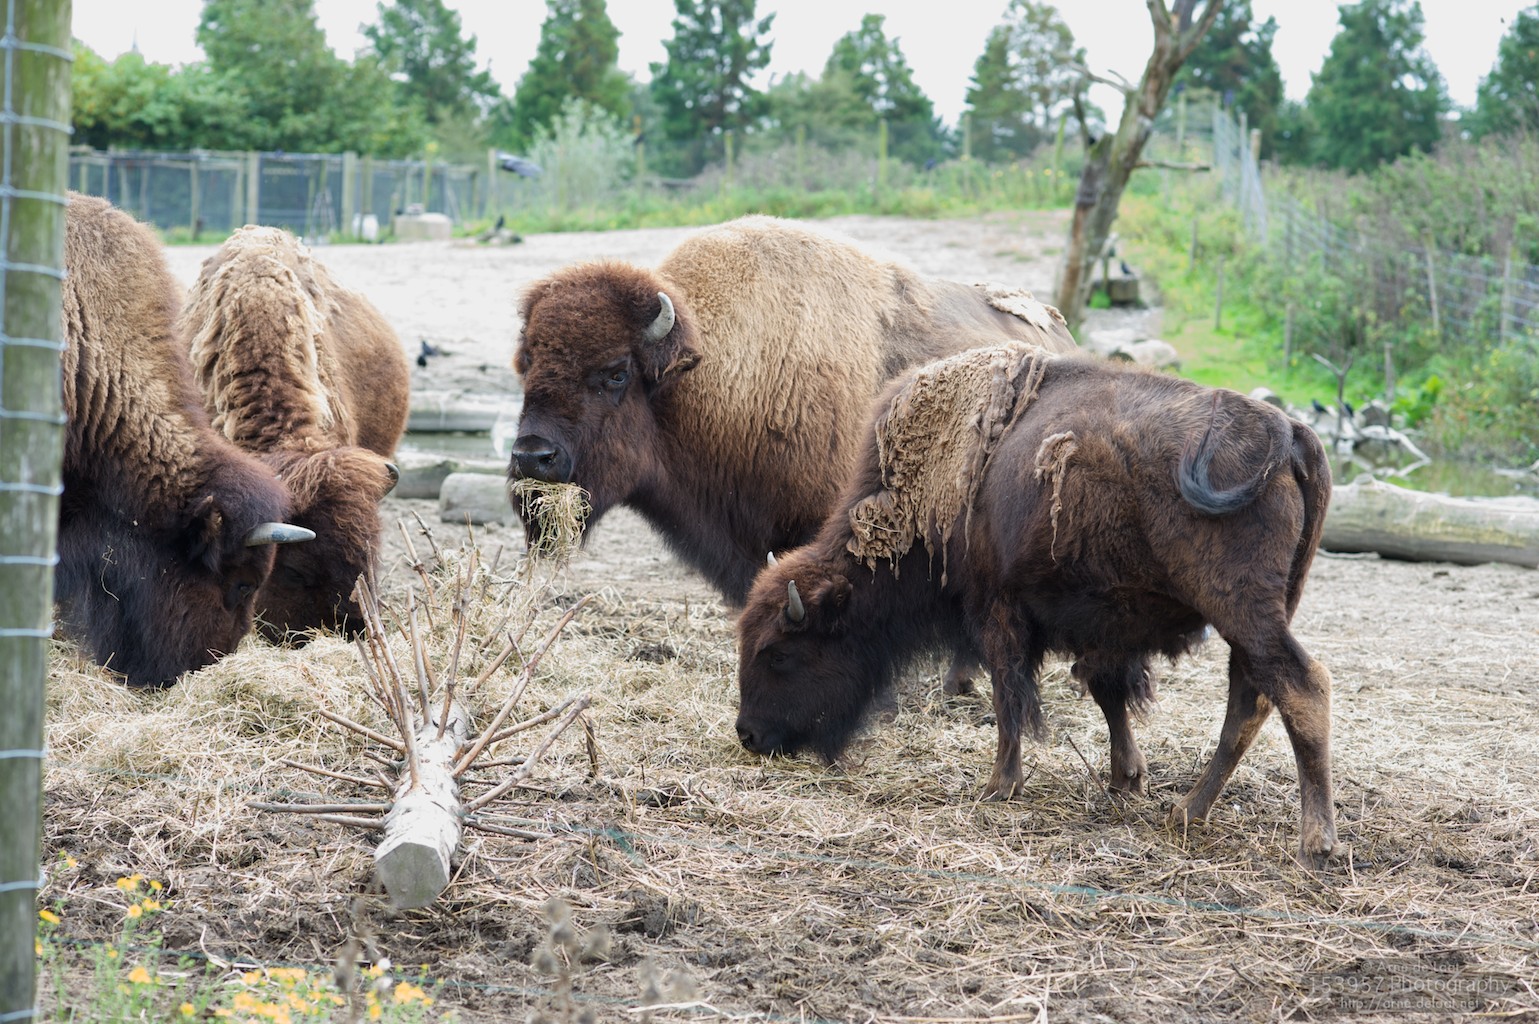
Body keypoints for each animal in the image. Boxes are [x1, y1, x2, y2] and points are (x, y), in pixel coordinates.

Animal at [735, 342, 1338, 867]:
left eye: (780, 653)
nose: (748, 735)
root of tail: (1288, 432)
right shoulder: (1102, 628)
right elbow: (1107, 693)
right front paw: (1126, 779)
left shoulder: (996, 608)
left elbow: (1009, 692)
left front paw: (1000, 785)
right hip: (1262, 614)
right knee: (1250, 698)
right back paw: (1188, 813)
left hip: (1242, 611)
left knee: (1299, 687)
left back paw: (1315, 844)